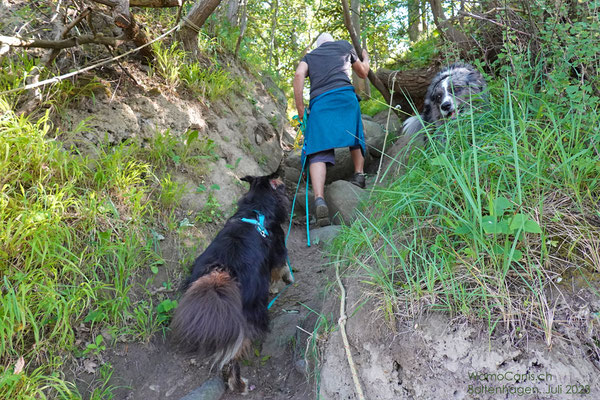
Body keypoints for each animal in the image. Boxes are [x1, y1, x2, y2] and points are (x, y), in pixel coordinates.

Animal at [170, 173, 292, 394]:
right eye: (278, 183)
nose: (282, 180)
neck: (257, 210)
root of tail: (221, 274)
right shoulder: (279, 250)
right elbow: (280, 269)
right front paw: (281, 283)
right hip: (249, 316)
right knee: (232, 356)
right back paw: (239, 384)